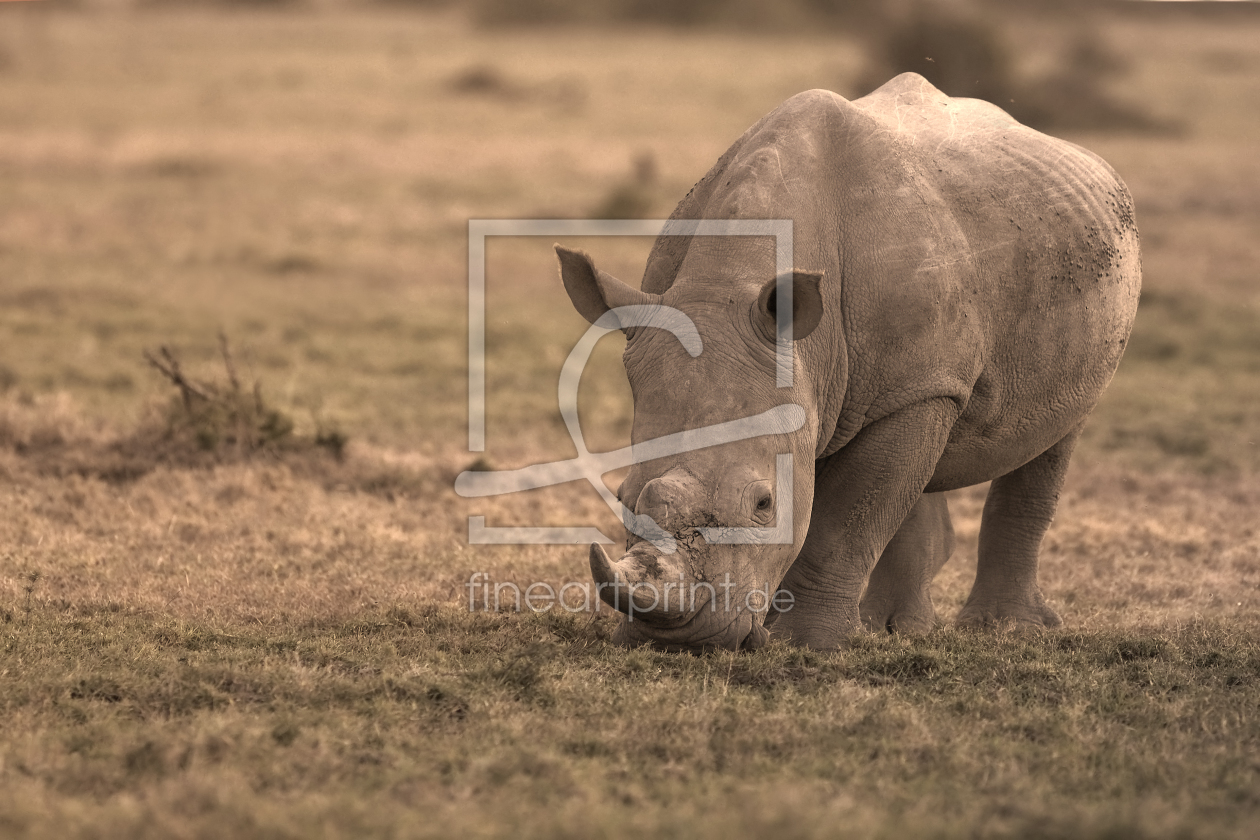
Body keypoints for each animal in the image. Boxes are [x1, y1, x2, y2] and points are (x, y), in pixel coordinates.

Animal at [559, 73, 1144, 649]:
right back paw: (894, 628)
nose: (677, 639)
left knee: (1056, 432)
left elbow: (846, 520)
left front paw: (805, 645)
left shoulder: (920, 384)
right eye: (621, 497)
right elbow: (864, 497)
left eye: (763, 504)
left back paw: (1003, 629)